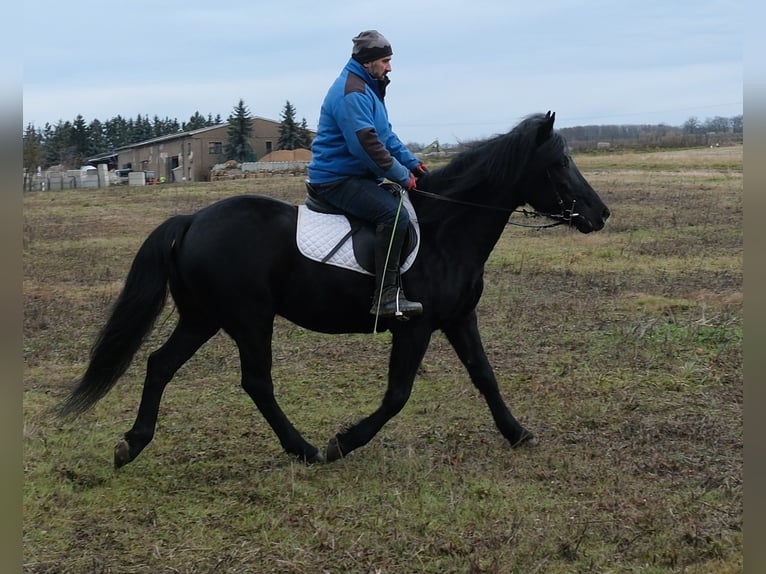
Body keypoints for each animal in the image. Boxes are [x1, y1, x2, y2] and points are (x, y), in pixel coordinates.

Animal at [58, 111, 610, 468]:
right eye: (558, 164)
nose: (600, 213)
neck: (446, 231)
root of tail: (192, 220)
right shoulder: (415, 326)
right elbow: (397, 395)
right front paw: (344, 442)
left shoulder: (458, 318)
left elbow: (485, 377)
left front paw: (518, 433)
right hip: (248, 319)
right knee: (256, 382)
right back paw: (305, 450)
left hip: (204, 317)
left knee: (160, 366)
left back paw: (132, 444)